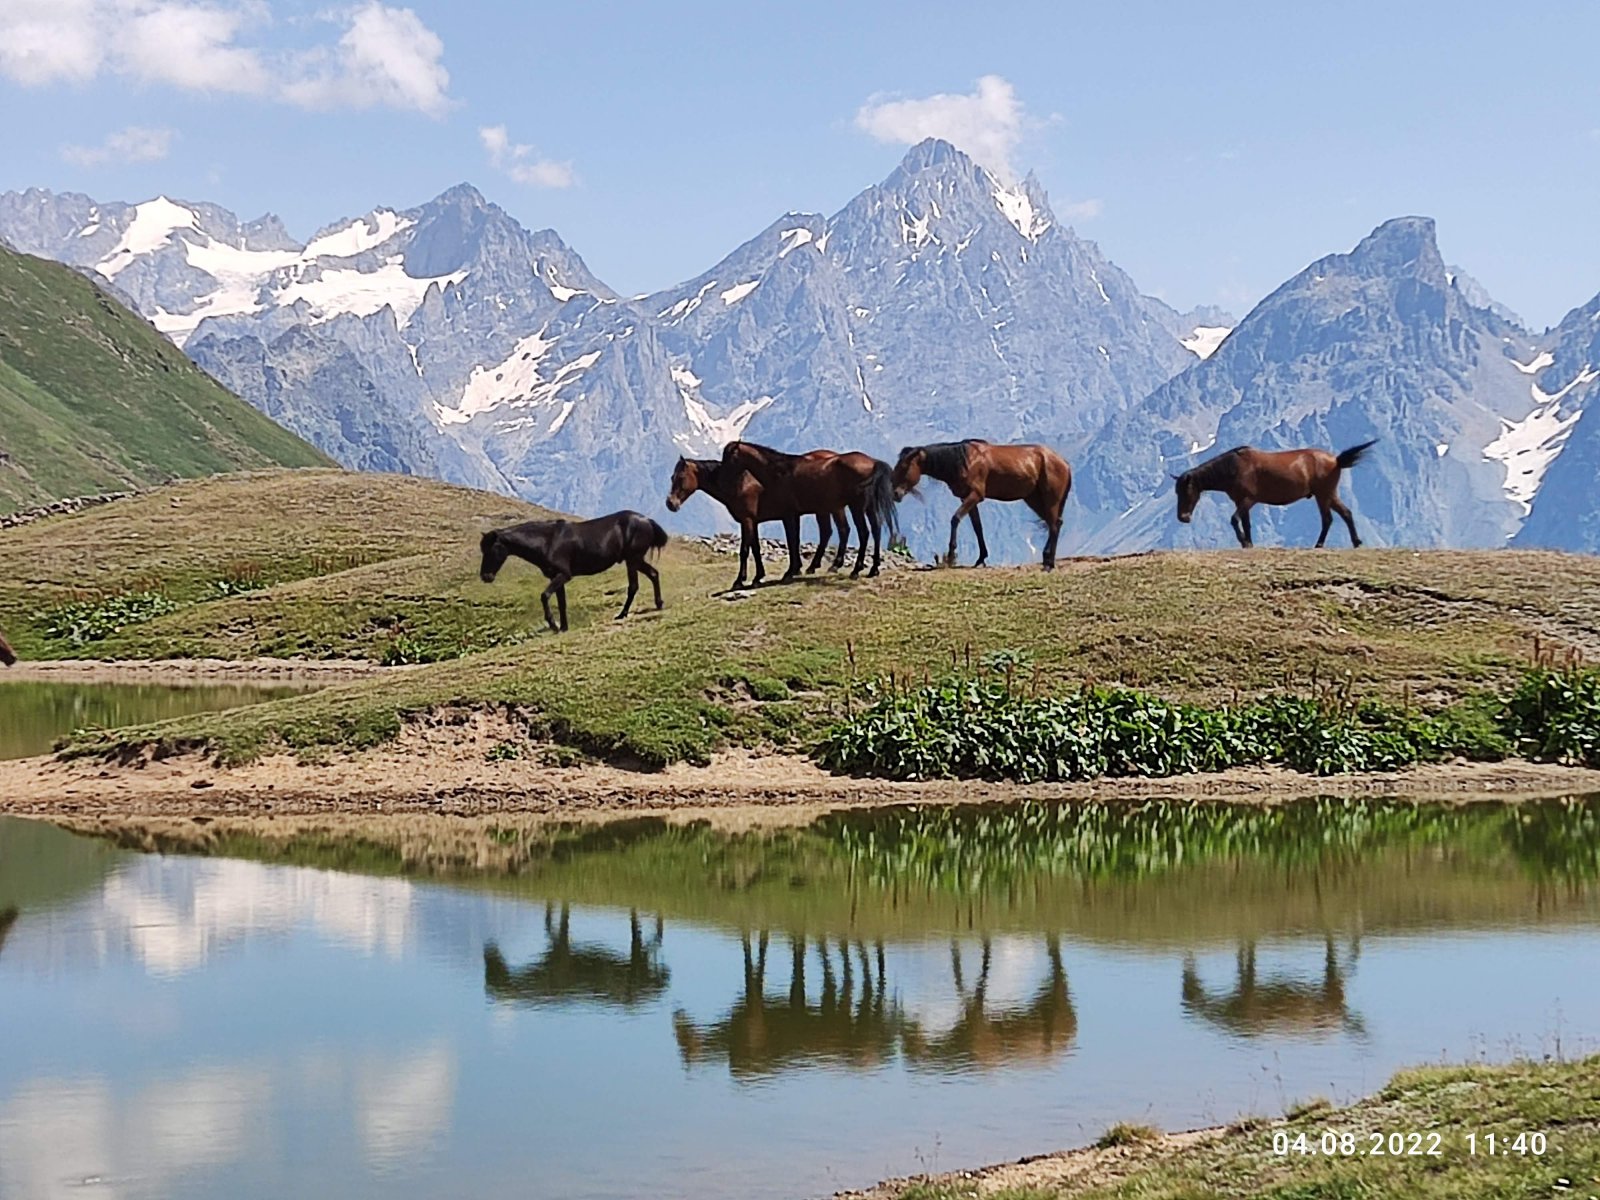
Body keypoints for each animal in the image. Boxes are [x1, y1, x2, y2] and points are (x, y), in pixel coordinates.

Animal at [480, 512, 668, 633]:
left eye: (491, 550)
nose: (485, 577)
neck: (547, 541)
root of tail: (647, 520)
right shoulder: (557, 577)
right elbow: (561, 602)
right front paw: (563, 627)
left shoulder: (563, 575)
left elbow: (544, 596)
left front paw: (553, 625)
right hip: (635, 560)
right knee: (653, 574)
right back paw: (658, 604)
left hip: (632, 560)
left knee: (634, 586)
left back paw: (622, 614)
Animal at [665, 454, 857, 592]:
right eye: (671, 477)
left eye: (680, 477)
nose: (670, 504)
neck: (739, 481)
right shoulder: (752, 522)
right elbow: (755, 549)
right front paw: (756, 577)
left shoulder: (747, 520)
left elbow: (745, 550)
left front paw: (742, 580)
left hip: (834, 508)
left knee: (841, 530)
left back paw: (833, 565)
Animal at [723, 444, 902, 579]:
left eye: (729, 457)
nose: (725, 480)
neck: (780, 472)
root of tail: (873, 462)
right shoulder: (794, 515)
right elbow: (794, 540)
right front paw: (796, 569)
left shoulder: (788, 515)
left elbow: (792, 540)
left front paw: (791, 571)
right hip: (866, 507)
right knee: (875, 530)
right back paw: (873, 569)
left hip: (855, 507)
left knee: (863, 532)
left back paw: (855, 570)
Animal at [896, 441, 1068, 572]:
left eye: (904, 467)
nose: (896, 493)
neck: (965, 461)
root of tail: (1064, 463)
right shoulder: (967, 499)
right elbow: (977, 527)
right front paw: (981, 558)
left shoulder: (975, 495)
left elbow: (955, 519)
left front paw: (951, 556)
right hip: (1033, 499)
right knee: (1054, 523)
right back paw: (1046, 558)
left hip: (1050, 499)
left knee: (1054, 525)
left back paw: (1049, 564)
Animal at [1171, 441, 1382, 550]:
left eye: (1186, 491)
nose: (1183, 518)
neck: (1234, 468)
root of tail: (1336, 460)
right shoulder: (1242, 502)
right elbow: (1246, 524)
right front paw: (1249, 543)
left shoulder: (1248, 500)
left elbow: (1234, 520)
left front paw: (1244, 542)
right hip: (1328, 495)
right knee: (1345, 514)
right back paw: (1356, 542)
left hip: (1323, 495)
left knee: (1328, 519)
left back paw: (1320, 544)